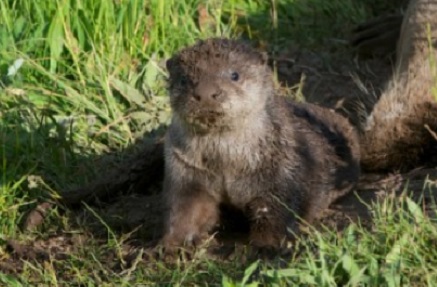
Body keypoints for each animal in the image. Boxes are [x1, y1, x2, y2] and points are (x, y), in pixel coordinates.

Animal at [160, 38, 358, 252]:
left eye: (234, 75)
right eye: (183, 80)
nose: (205, 92)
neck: (226, 162)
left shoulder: (281, 172)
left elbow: (274, 211)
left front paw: (267, 247)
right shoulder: (185, 173)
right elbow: (186, 211)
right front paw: (174, 246)